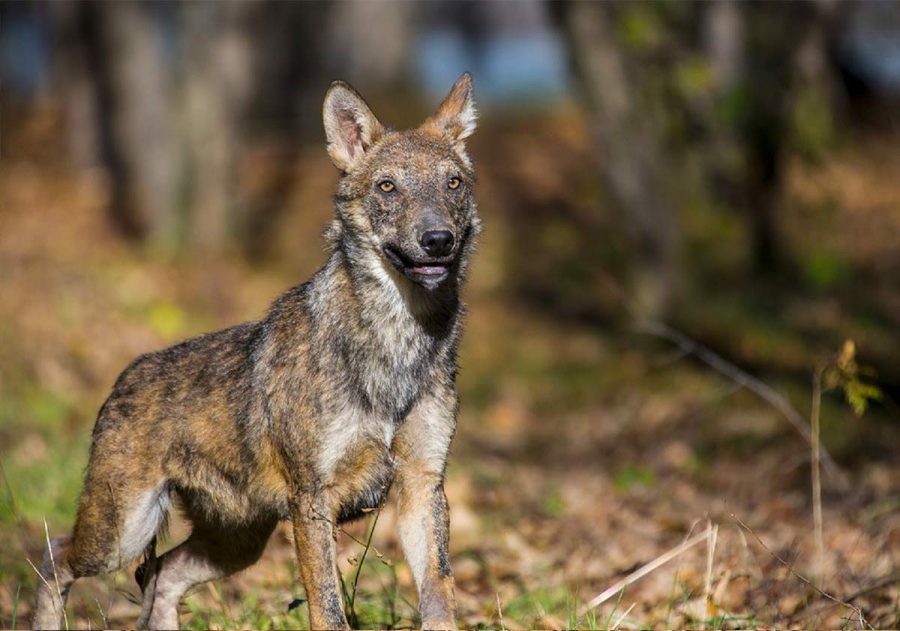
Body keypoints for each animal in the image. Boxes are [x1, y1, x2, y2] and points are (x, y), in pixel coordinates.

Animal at [32, 73, 480, 630]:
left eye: (452, 184)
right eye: (387, 187)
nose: (438, 239)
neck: (397, 344)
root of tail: (125, 375)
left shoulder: (422, 488)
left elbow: (439, 595)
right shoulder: (313, 500)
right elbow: (328, 610)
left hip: (236, 543)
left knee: (160, 576)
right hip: (121, 534)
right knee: (54, 557)